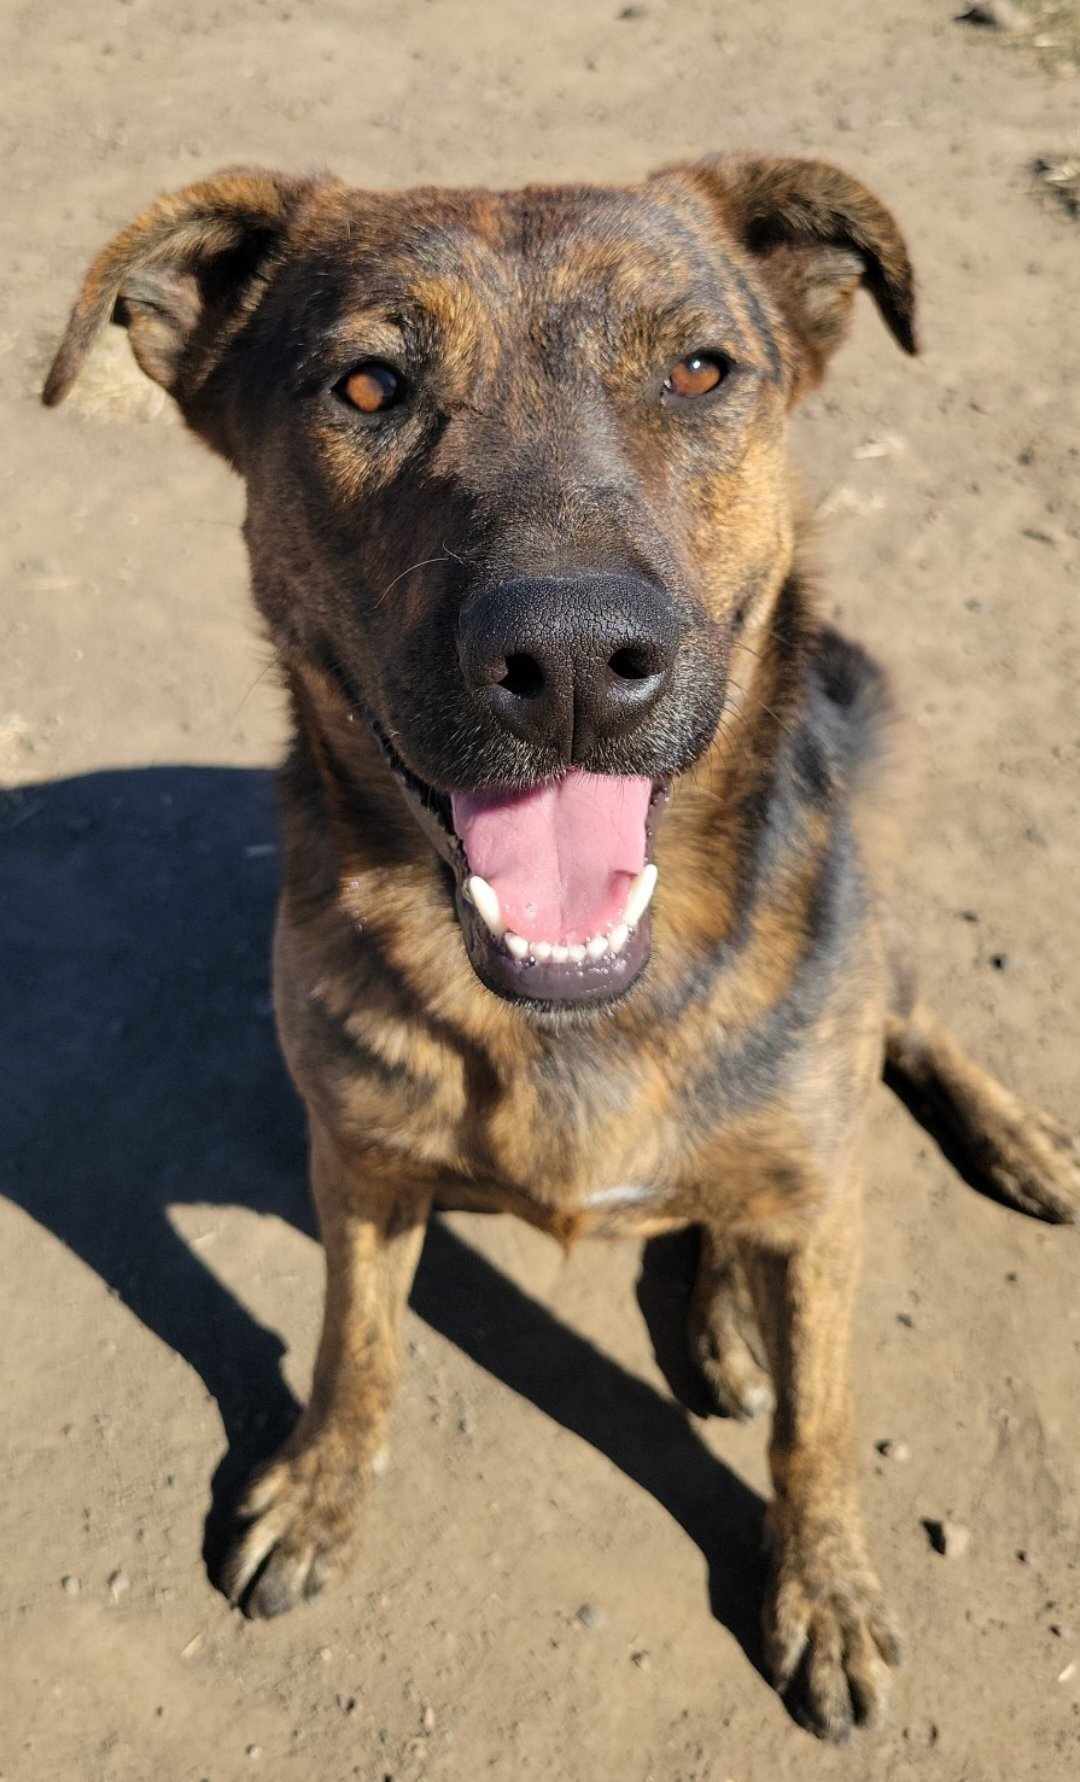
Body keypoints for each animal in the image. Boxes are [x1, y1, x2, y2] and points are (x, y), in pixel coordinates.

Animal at [44, 153, 1080, 1739]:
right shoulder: (359, 1164)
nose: (577, 661)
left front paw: (826, 1587)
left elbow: (826, 1424)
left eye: (701, 369)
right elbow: (355, 1343)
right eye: (366, 385)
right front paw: (321, 1489)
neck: (574, 1007)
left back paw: (1001, 1149)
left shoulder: (824, 1200)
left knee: (900, 1037)